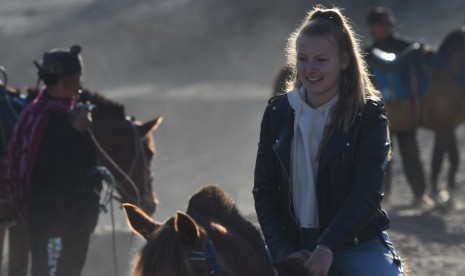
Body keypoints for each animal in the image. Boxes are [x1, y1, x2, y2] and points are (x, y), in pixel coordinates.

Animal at [270, 27, 464, 207]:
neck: (450, 72)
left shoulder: (448, 126)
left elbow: (452, 158)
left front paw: (446, 196)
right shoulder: (443, 125)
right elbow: (439, 161)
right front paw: (439, 197)